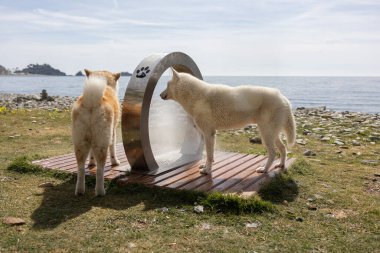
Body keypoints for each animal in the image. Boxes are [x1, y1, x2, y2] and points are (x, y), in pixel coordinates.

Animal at [160, 69, 296, 176]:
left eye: (167, 84)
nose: (160, 94)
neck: (196, 96)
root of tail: (283, 98)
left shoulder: (209, 134)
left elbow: (209, 155)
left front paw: (207, 171)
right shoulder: (208, 134)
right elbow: (209, 156)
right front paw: (205, 167)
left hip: (266, 134)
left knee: (273, 153)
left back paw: (264, 169)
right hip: (272, 133)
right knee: (283, 148)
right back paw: (281, 165)